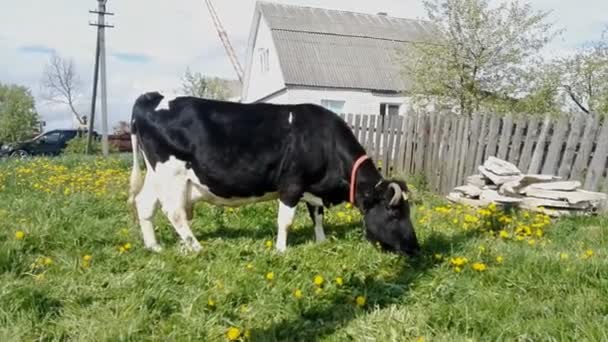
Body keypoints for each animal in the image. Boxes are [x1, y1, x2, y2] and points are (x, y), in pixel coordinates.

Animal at [127, 91, 420, 256]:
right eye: (395, 213)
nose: (415, 248)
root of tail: (151, 97)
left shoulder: (312, 187)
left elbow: (317, 216)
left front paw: (321, 242)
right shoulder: (291, 184)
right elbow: (285, 221)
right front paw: (280, 250)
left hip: (156, 176)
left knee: (144, 204)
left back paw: (154, 246)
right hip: (171, 176)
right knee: (174, 213)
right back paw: (197, 248)